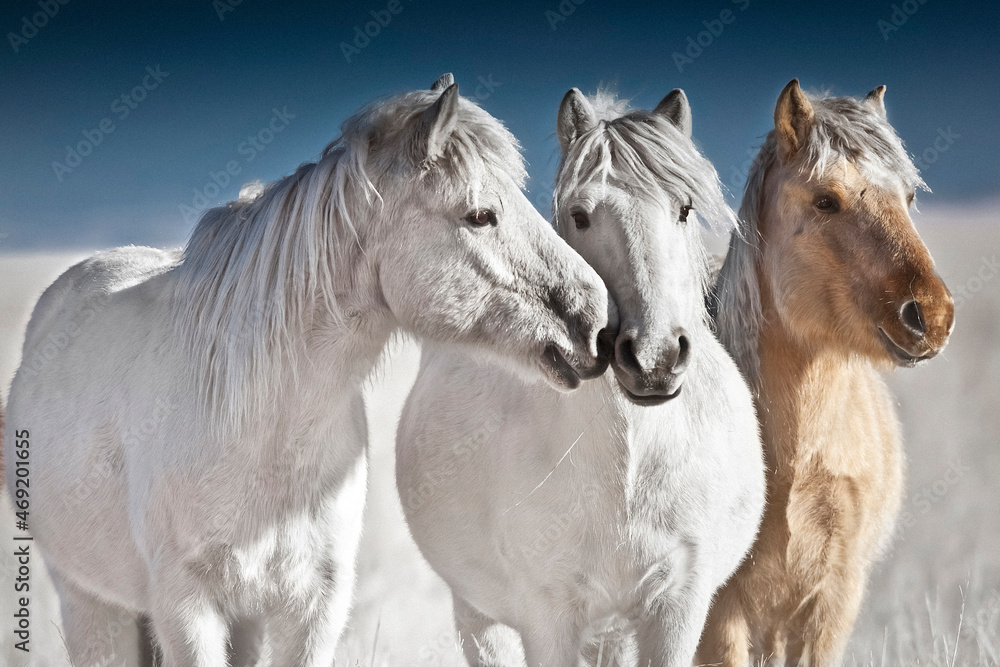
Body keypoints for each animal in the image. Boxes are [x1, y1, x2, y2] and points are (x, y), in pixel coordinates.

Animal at [2, 74, 612, 666]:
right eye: (480, 215)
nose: (595, 322)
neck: (264, 430)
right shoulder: (185, 608)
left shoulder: (316, 603)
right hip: (90, 602)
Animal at [396, 87, 765, 667]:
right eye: (580, 215)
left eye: (684, 209)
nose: (654, 358)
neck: (630, 468)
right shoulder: (549, 616)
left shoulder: (677, 606)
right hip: (478, 614)